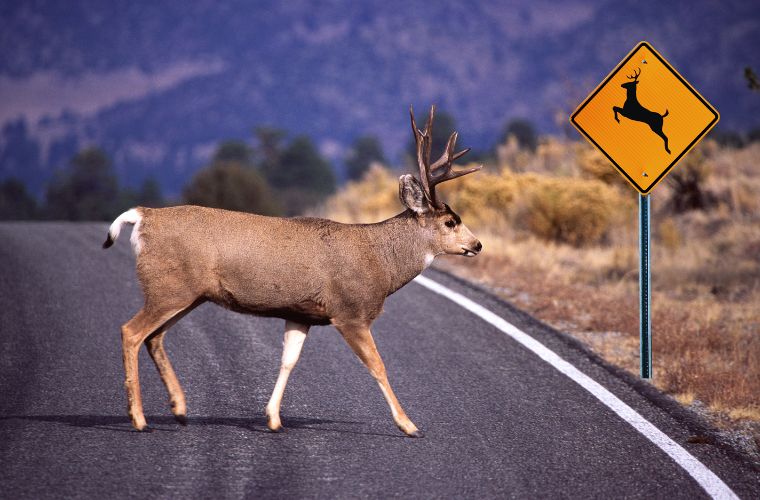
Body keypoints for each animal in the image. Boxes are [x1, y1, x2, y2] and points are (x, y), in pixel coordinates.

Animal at [102, 105, 483, 437]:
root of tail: (144, 216)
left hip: (186, 294)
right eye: (451, 221)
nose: (477, 245)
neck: (380, 261)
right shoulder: (350, 312)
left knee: (154, 337)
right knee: (131, 332)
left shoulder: (301, 314)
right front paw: (409, 425)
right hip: (169, 287)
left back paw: (179, 409)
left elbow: (288, 360)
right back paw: (139, 419)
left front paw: (273, 418)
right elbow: (378, 365)